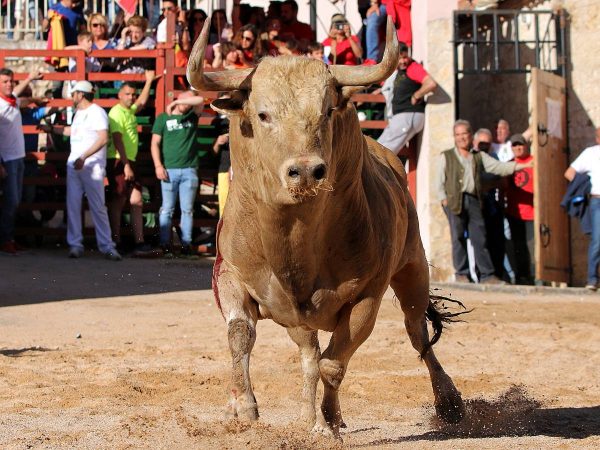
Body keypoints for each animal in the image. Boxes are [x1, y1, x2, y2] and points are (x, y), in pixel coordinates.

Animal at [188, 17, 464, 436]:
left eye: (327, 111)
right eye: (263, 115)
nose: (305, 171)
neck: (293, 242)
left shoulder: (367, 296)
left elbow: (334, 363)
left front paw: (330, 420)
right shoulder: (231, 275)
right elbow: (241, 335)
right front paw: (243, 408)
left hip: (413, 269)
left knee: (417, 333)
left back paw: (448, 402)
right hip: (298, 317)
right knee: (308, 353)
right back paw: (306, 416)